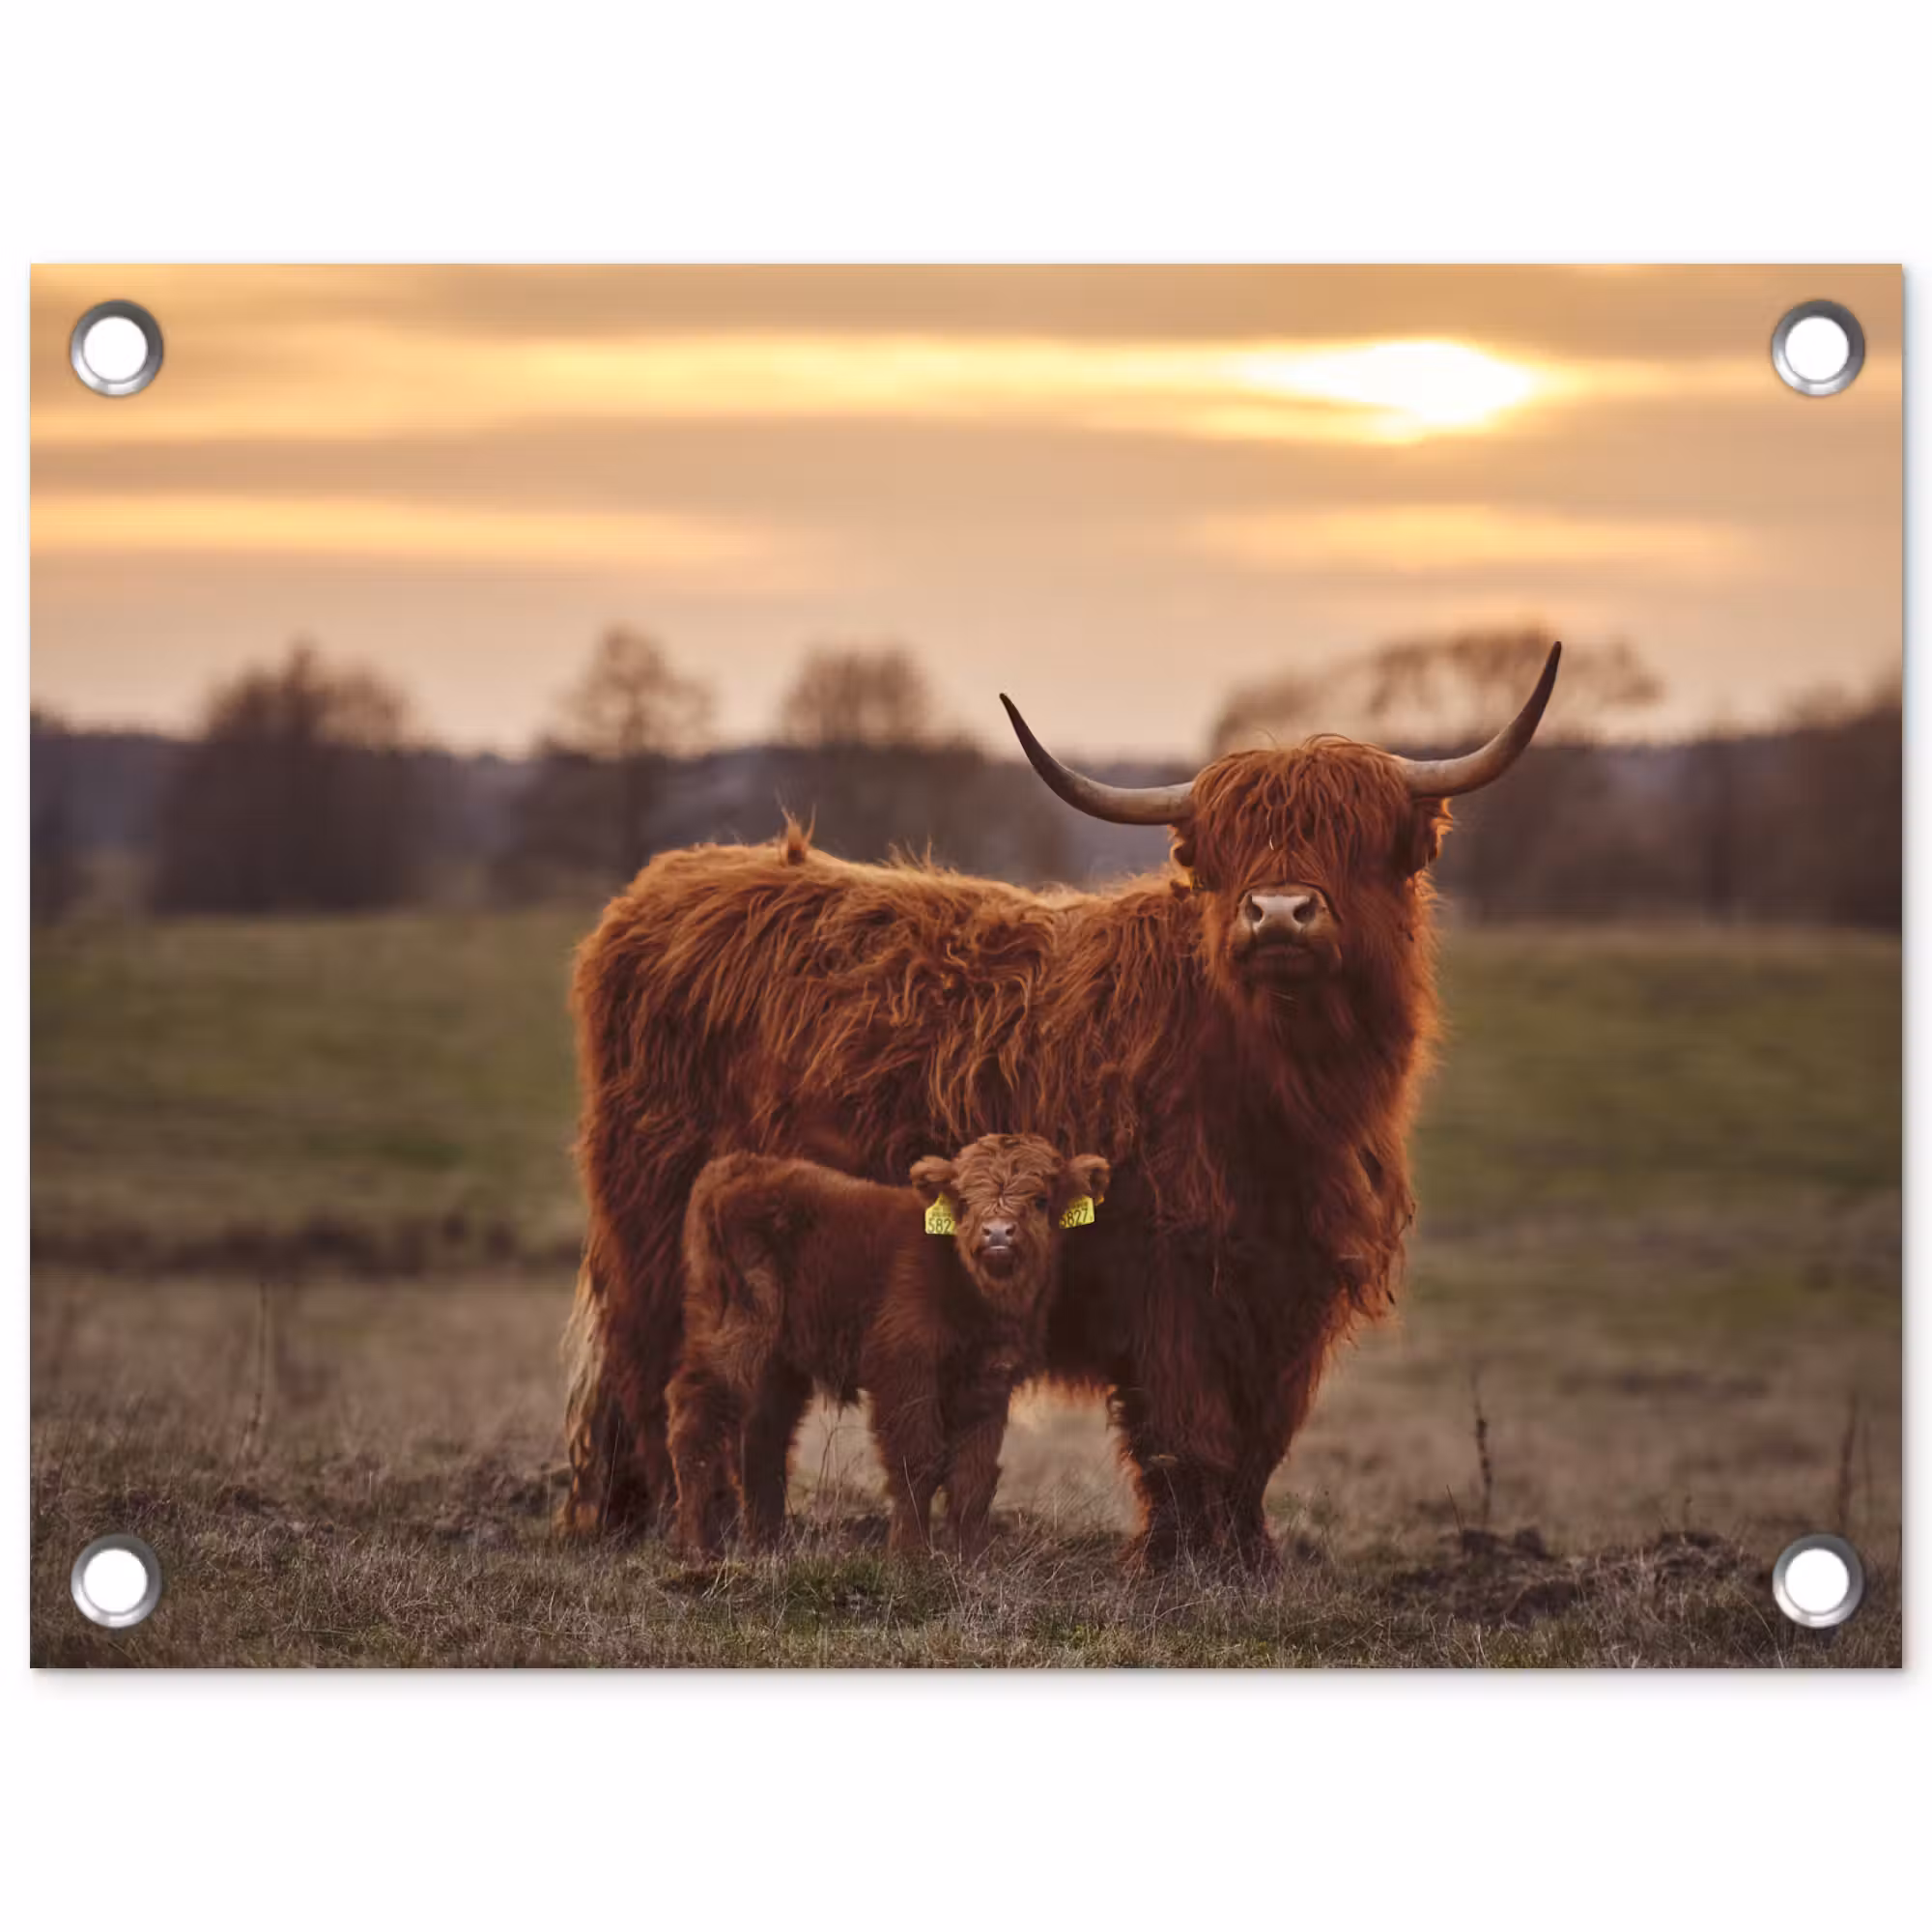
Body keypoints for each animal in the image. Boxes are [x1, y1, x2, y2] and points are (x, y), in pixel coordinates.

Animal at [667, 1133, 1111, 1560]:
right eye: (965, 1201)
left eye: (1040, 1200)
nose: (998, 1232)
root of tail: (738, 1166)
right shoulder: (905, 1370)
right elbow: (918, 1461)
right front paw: (910, 1554)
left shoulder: (990, 1381)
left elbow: (974, 1474)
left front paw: (974, 1558)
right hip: (738, 1327)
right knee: (697, 1416)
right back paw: (698, 1548)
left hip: (779, 1360)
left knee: (764, 1437)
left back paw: (768, 1547)